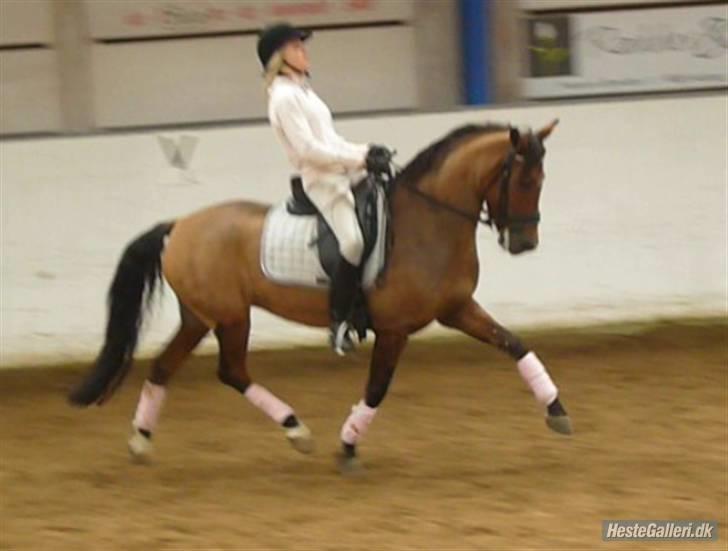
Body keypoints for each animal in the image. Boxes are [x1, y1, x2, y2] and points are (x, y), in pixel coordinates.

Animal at [68, 119, 571, 472]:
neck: (427, 222)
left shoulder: (456, 309)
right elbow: (376, 389)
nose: (525, 243)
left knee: (171, 368)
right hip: (229, 316)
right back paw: (296, 430)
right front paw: (347, 446)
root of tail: (180, 226)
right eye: (524, 181)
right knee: (229, 370)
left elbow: (515, 344)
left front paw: (557, 411)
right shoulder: (395, 329)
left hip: (200, 317)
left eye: (542, 179)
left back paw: (143, 440)